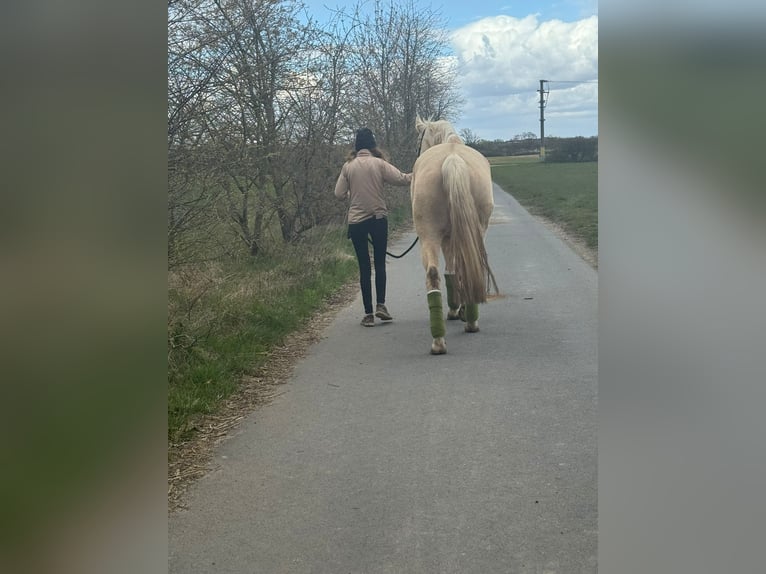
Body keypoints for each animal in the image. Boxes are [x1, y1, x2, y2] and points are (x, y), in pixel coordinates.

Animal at [411, 116, 499, 354]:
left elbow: (451, 270)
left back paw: (443, 338)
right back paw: (463, 326)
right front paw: (458, 310)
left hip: (430, 235)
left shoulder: (448, 238)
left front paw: (455, 309)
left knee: (435, 273)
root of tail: (452, 159)